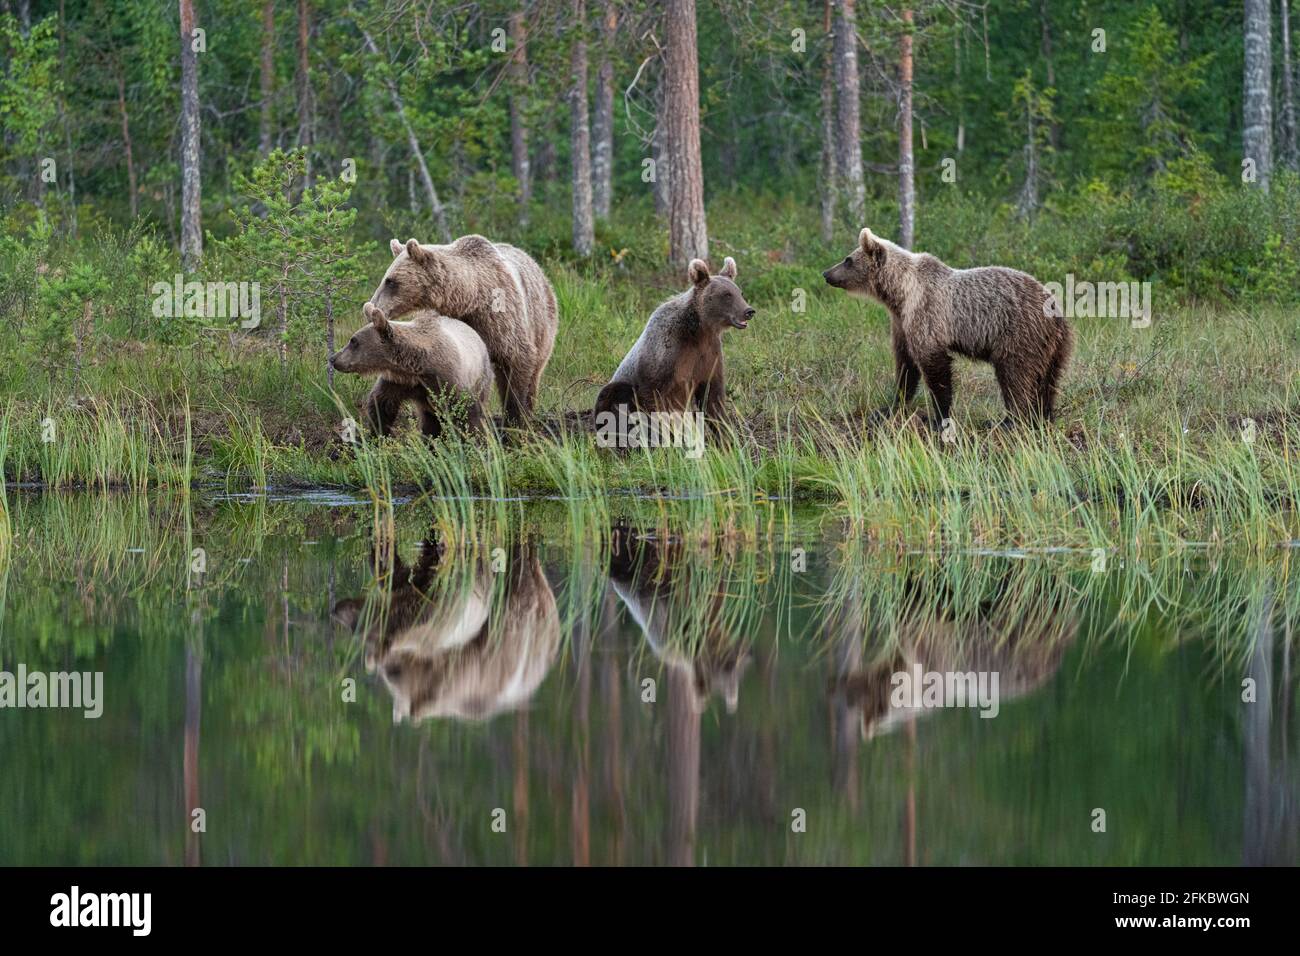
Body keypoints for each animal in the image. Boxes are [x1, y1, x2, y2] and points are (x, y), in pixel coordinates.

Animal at [330, 304, 491, 439]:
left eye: (353, 341)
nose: (333, 358)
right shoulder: (398, 381)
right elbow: (381, 404)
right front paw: (377, 434)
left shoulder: (447, 381)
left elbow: (467, 413)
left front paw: (473, 441)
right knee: (430, 421)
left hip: (481, 377)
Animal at [374, 234, 561, 424]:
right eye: (386, 279)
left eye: (390, 281)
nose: (374, 305)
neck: (470, 297)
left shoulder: (501, 321)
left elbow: (517, 363)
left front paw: (515, 419)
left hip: (542, 324)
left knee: (534, 372)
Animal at [592, 257, 754, 429]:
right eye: (727, 294)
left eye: (740, 293)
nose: (749, 311)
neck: (699, 329)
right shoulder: (667, 356)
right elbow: (654, 399)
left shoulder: (709, 355)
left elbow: (712, 398)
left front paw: (725, 432)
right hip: (619, 389)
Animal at [821, 227, 1076, 426]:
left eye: (847, 259)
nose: (826, 273)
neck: (900, 294)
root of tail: (1057, 311)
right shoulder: (901, 323)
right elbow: (906, 367)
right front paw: (888, 408)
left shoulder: (927, 314)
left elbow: (935, 366)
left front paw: (938, 417)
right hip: (1054, 346)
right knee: (1048, 380)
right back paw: (1043, 415)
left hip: (1019, 334)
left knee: (1016, 375)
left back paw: (1007, 420)